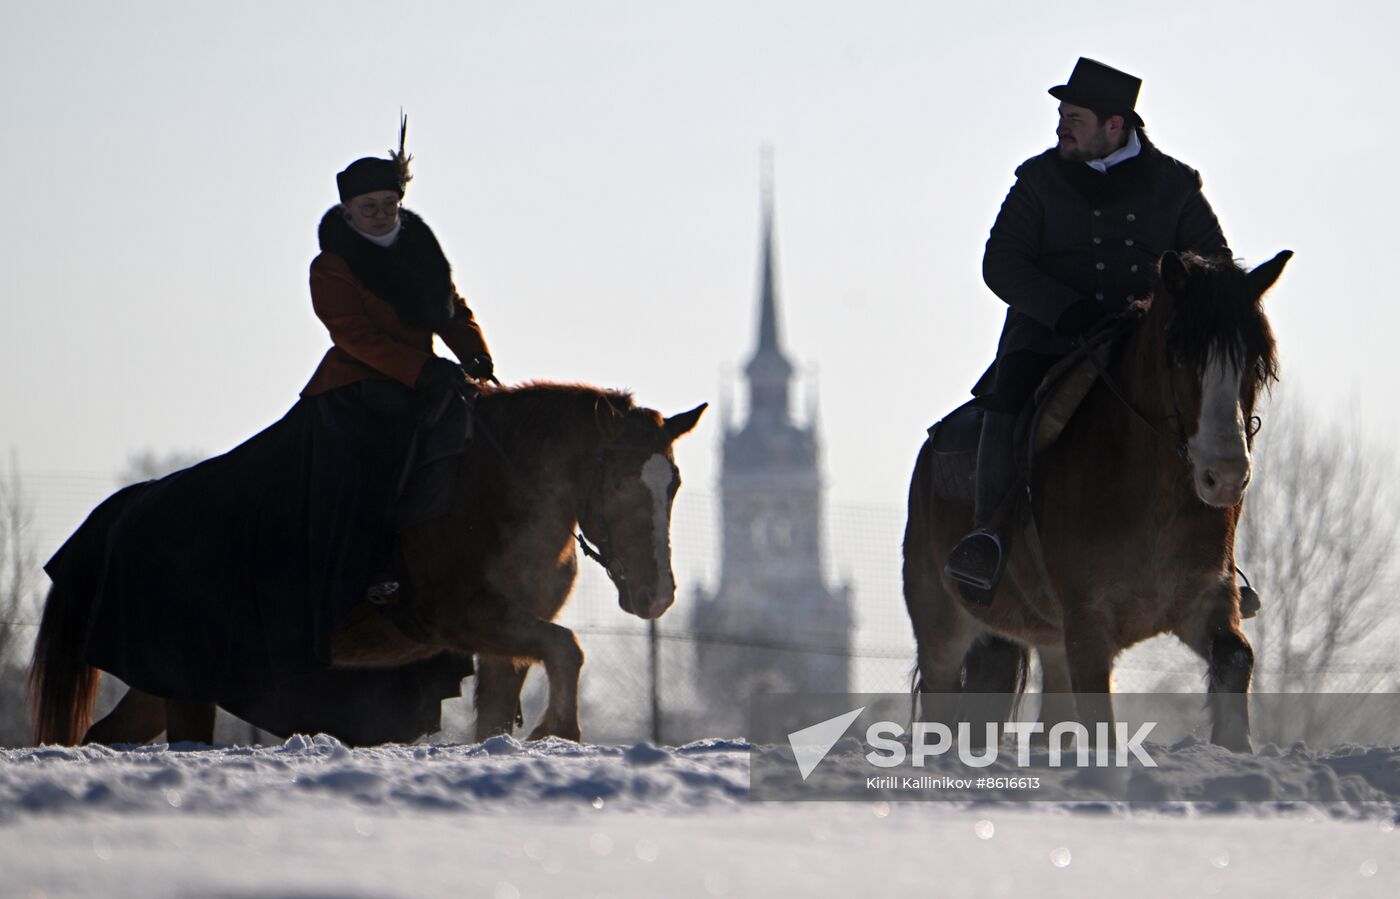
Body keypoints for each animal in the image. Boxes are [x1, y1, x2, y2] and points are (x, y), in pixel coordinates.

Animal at [30, 383, 711, 739]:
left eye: (673, 484)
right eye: (620, 483)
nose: (656, 595)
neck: (499, 491)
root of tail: (127, 511)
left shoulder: (507, 640)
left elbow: (506, 705)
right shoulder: (465, 620)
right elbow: (569, 647)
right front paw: (558, 732)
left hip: (163, 679)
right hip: (185, 679)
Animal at [907, 250, 1288, 750]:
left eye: (1256, 362)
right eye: (1180, 355)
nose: (1225, 476)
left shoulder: (1203, 599)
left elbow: (1234, 658)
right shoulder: (1088, 623)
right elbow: (1100, 723)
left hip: (1046, 641)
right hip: (943, 626)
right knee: (941, 700)